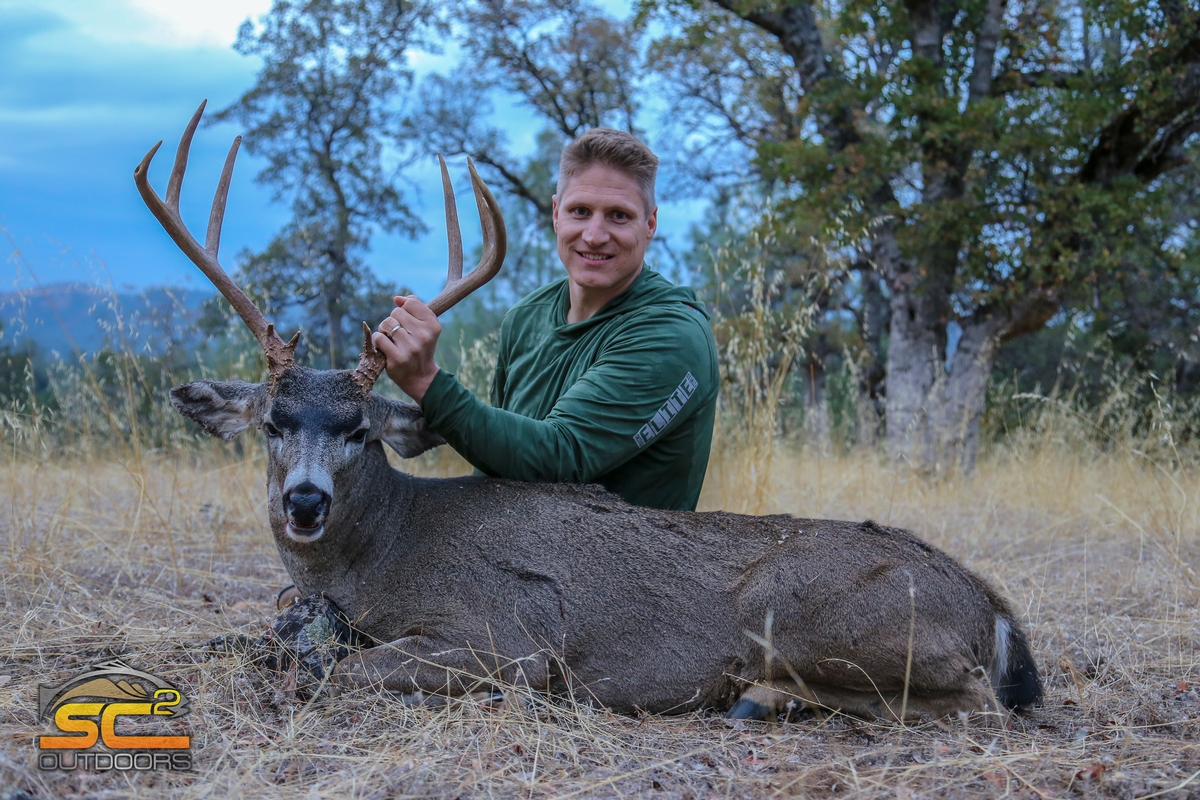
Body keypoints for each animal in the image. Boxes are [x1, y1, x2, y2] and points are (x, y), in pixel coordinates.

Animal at [138, 103, 1041, 724]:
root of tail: (992, 608)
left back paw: (764, 697)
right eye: (273, 422)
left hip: (797, 610)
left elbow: (328, 670)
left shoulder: (505, 637)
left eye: (359, 431)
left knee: (972, 701)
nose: (305, 501)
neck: (381, 559)